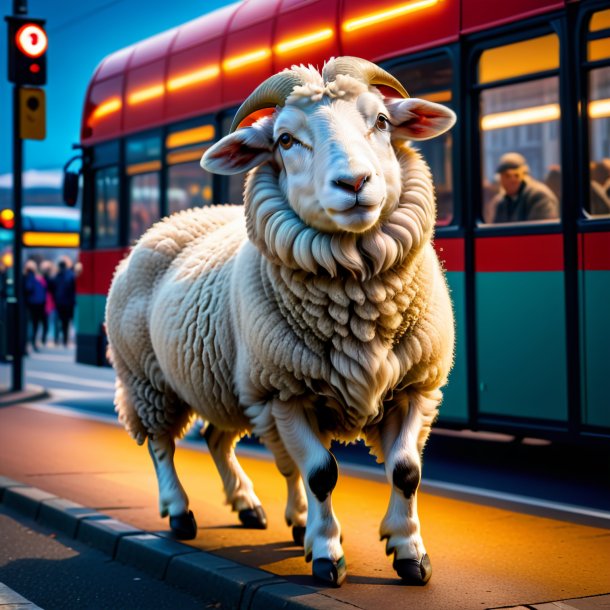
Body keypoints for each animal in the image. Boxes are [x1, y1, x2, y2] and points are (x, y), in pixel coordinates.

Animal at [107, 57, 454, 584]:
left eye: (381, 121)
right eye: (286, 140)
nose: (355, 184)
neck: (360, 303)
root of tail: (171, 220)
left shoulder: (416, 385)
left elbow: (405, 471)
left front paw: (409, 553)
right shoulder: (284, 392)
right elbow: (320, 473)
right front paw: (328, 555)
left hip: (225, 384)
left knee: (218, 440)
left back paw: (252, 507)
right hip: (149, 379)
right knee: (163, 445)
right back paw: (181, 512)